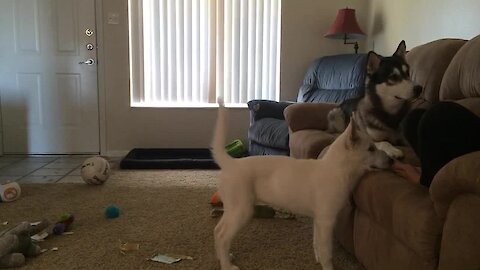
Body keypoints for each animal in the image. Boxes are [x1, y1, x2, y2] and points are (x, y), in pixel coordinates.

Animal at [212, 98, 392, 268]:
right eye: (370, 149)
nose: (392, 160)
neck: (337, 168)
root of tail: (231, 163)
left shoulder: (318, 220)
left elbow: (317, 243)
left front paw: (318, 259)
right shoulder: (326, 220)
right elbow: (327, 251)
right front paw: (327, 266)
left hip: (234, 209)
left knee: (218, 230)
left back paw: (223, 257)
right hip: (241, 209)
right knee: (222, 235)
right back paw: (227, 266)